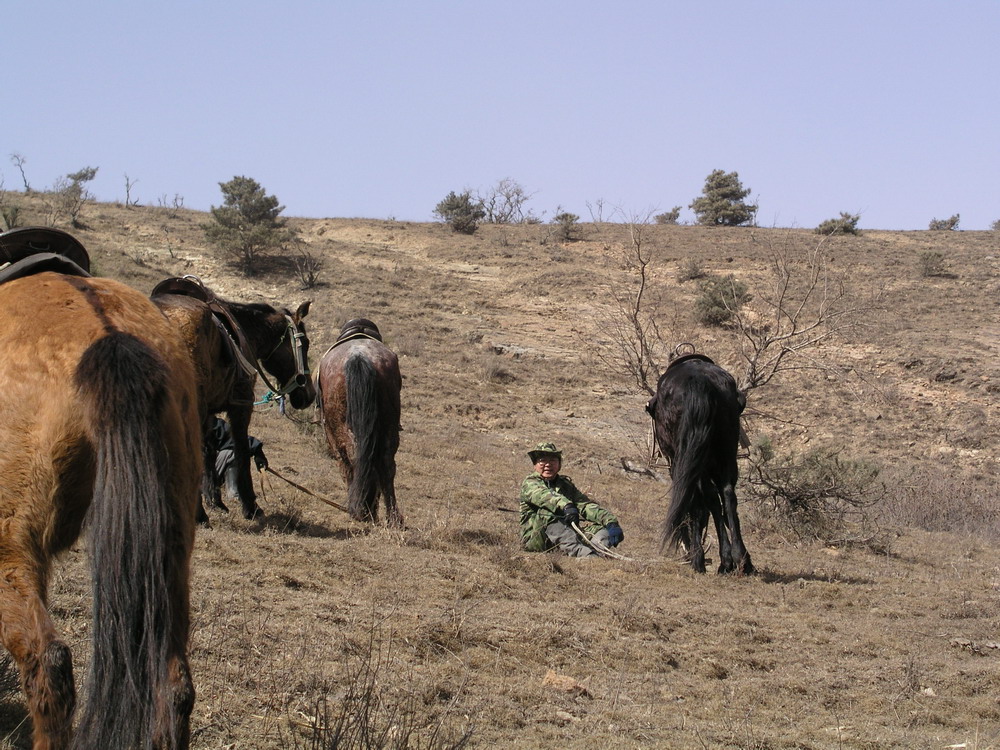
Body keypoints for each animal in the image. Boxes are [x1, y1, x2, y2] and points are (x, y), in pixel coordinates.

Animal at [150, 278, 314, 524]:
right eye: (307, 344)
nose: (309, 395)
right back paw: (198, 515)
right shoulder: (241, 406)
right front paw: (251, 507)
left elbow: (208, 451)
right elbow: (241, 451)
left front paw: (215, 501)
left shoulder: (209, 413)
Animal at [316, 320, 402, 524]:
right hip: (389, 427)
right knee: (385, 464)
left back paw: (359, 510)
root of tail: (359, 357)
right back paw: (392, 518)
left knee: (353, 460)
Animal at [644, 352, 752, 576]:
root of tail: (701, 382)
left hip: (692, 462)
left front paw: (697, 557)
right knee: (727, 495)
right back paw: (740, 559)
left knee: (707, 498)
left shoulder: (676, 464)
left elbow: (694, 504)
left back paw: (723, 560)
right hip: (725, 455)